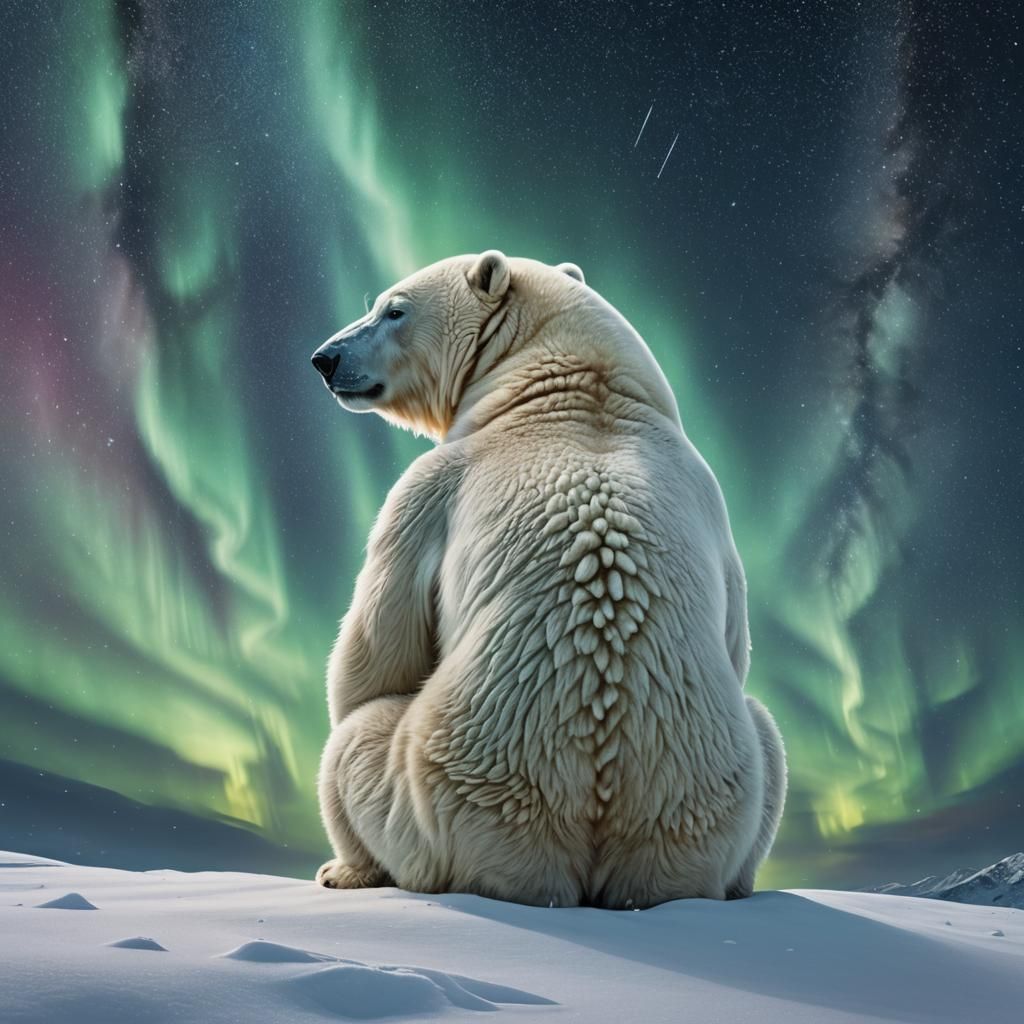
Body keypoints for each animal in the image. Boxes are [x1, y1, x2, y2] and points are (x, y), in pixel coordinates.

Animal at [309, 251, 786, 908]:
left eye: (393, 309)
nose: (325, 358)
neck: (573, 389)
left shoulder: (432, 487)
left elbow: (376, 653)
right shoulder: (712, 498)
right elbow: (736, 638)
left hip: (430, 802)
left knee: (353, 745)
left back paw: (346, 869)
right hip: (707, 814)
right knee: (766, 735)